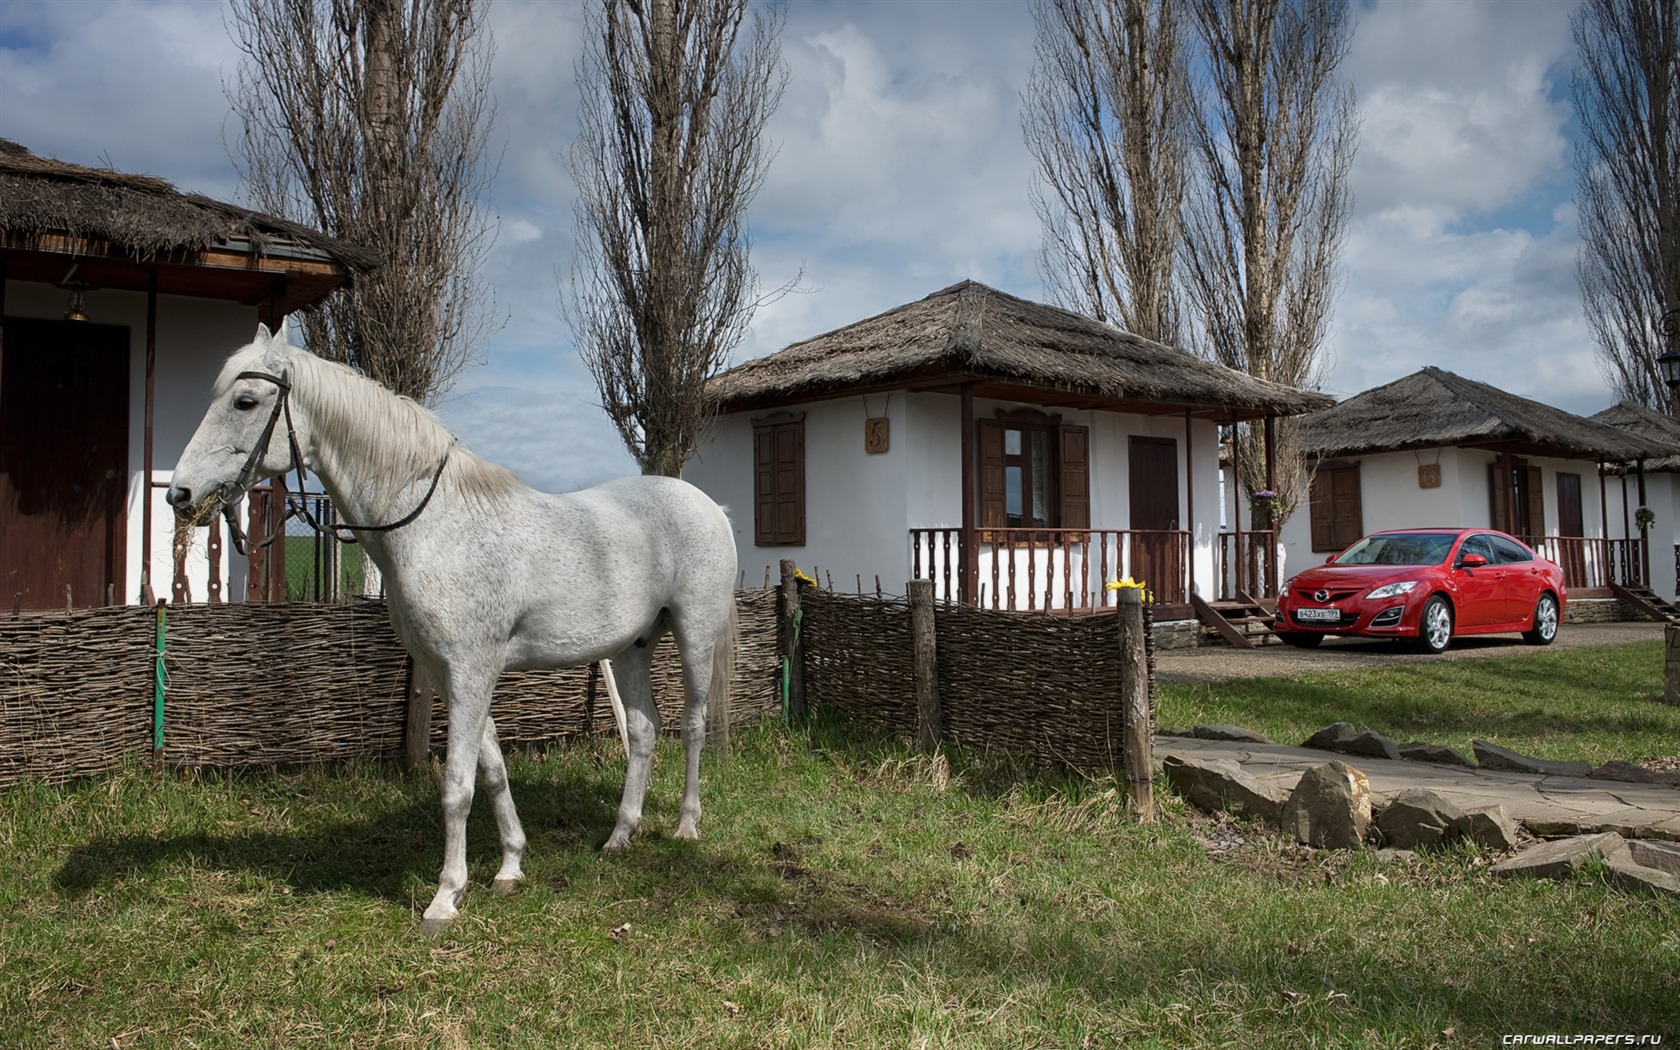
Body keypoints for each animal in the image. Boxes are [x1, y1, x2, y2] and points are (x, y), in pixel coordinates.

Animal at [167, 324, 739, 927]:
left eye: (245, 401)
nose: (179, 494)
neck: (434, 525)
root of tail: (710, 507)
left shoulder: (470, 671)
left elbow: (457, 787)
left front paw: (446, 896)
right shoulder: (451, 675)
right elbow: (491, 770)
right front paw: (510, 866)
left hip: (695, 637)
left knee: (693, 725)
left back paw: (686, 825)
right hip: (630, 647)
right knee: (645, 729)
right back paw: (620, 835)